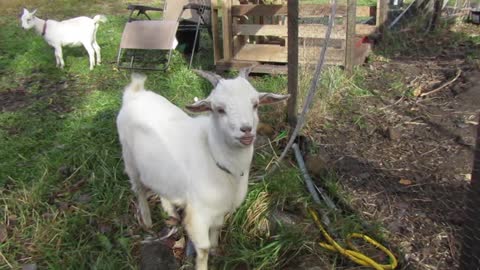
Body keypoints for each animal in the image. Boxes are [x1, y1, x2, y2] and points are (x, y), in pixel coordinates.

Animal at [117, 70, 288, 270]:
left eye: (255, 104)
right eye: (219, 109)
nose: (246, 130)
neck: (214, 155)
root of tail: (135, 93)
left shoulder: (220, 207)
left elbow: (217, 228)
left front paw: (215, 249)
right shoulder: (198, 214)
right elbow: (203, 248)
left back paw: (171, 213)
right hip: (129, 160)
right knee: (139, 190)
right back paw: (147, 222)